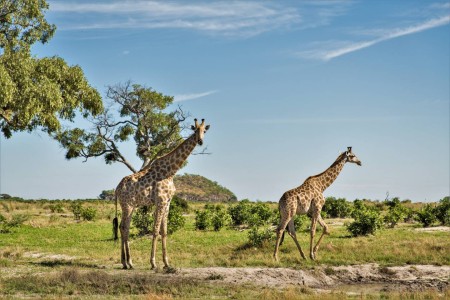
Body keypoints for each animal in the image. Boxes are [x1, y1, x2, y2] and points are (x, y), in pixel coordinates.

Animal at [112, 118, 211, 270]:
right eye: (195, 130)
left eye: (204, 130)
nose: (200, 141)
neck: (171, 171)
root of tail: (117, 189)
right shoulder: (160, 201)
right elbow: (155, 230)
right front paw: (153, 263)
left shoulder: (168, 202)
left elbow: (164, 231)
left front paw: (166, 263)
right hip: (127, 205)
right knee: (124, 228)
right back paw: (127, 262)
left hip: (131, 206)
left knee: (124, 228)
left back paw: (127, 263)